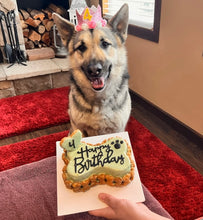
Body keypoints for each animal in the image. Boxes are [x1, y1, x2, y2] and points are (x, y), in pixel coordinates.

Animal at [53, 3, 131, 136]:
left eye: (105, 44)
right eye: (81, 47)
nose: (94, 70)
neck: (99, 98)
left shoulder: (118, 131)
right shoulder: (79, 129)